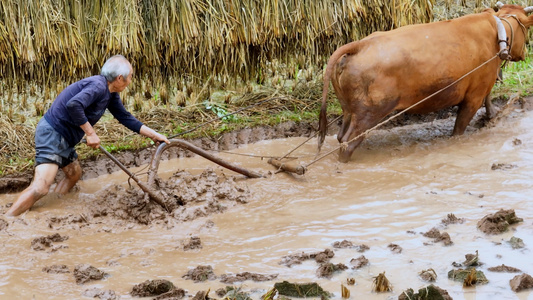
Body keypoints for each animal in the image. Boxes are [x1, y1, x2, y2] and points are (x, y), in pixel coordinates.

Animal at [318, 1, 528, 162]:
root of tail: (360, 44)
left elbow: (488, 98)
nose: (524, 53)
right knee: (347, 143)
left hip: (348, 110)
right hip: (368, 114)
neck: (496, 33)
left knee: (340, 137)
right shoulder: (473, 97)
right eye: (527, 29)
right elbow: (459, 129)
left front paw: (492, 115)